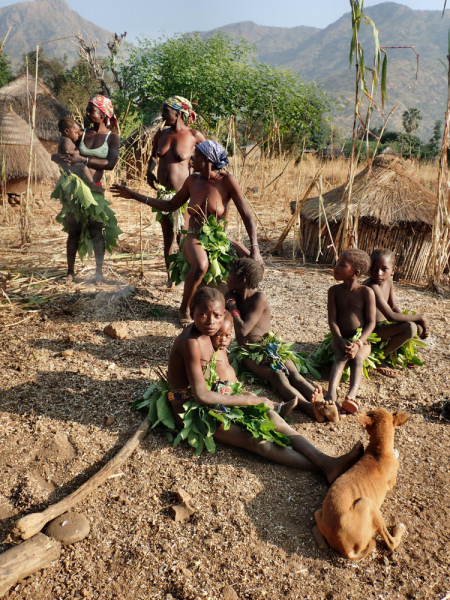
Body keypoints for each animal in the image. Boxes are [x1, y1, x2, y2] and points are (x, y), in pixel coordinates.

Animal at [314, 410, 410, 560]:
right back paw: (399, 529)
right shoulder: (392, 482)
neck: (378, 450)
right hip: (368, 503)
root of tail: (346, 549)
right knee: (391, 543)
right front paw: (395, 452)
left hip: (319, 512)